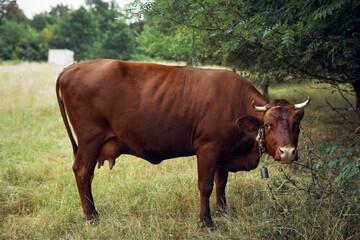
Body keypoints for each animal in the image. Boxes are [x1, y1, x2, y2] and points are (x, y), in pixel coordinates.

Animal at [56, 58, 310, 231]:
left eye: (296, 124)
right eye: (267, 124)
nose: (288, 152)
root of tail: (73, 67)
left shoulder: (223, 153)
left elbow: (221, 183)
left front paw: (223, 212)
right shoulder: (208, 147)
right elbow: (205, 185)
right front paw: (206, 222)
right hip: (90, 140)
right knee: (82, 173)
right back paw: (92, 217)